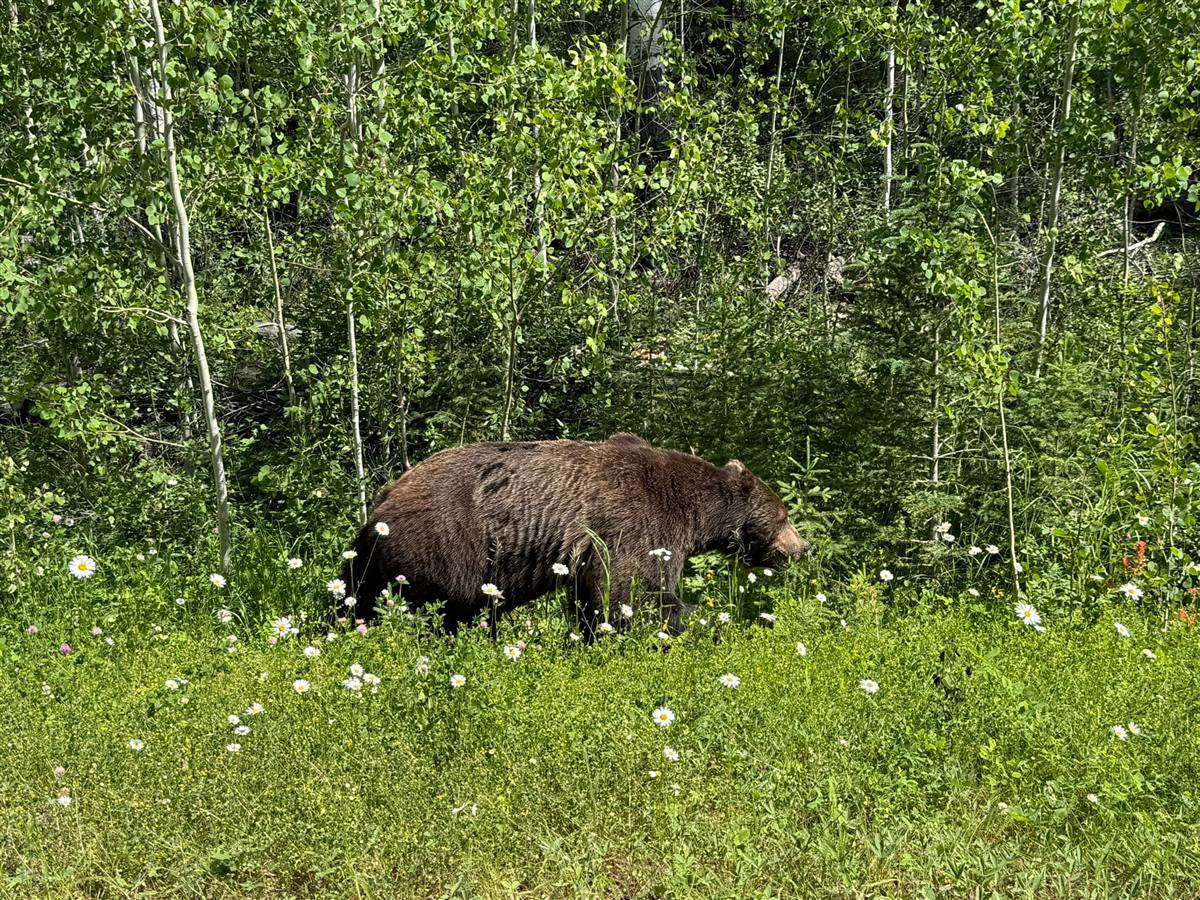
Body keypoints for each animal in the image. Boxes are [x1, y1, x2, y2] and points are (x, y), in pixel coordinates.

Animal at [336, 432, 810, 636]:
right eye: (784, 514)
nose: (802, 547)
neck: (695, 512)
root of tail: (380, 501)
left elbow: (594, 598)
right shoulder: (638, 523)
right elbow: (637, 591)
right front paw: (682, 627)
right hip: (444, 547)